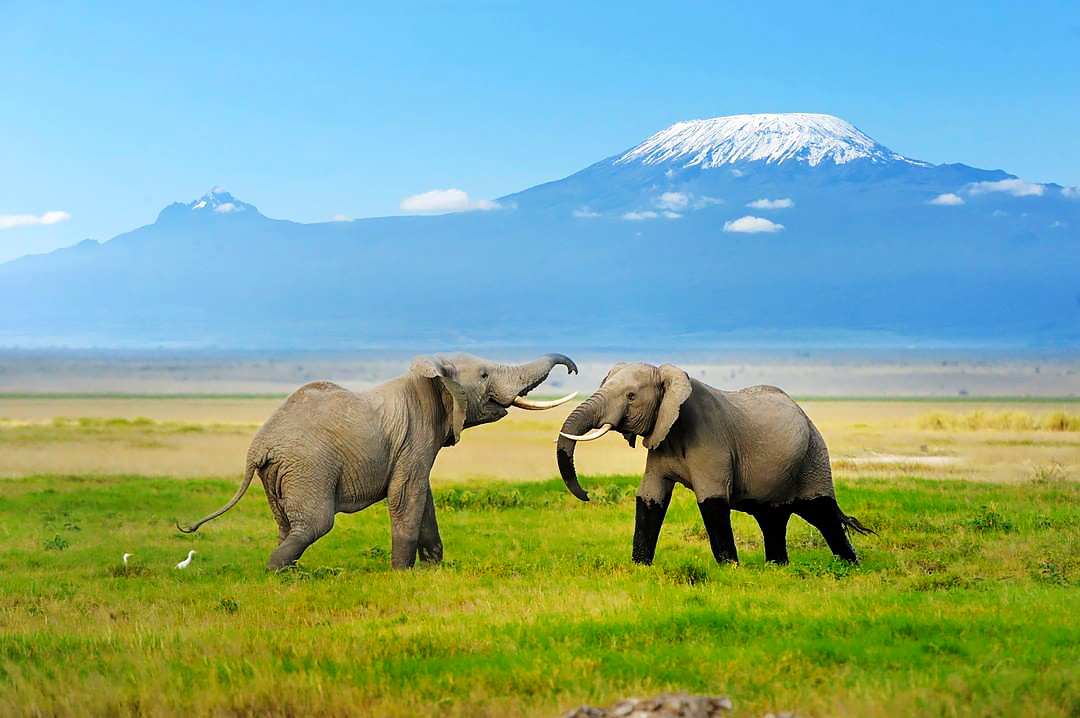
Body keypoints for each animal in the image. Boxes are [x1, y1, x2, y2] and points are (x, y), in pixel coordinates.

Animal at [177, 351, 578, 565]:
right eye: (483, 375)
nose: (572, 368)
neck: (430, 375)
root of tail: (258, 448)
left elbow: (423, 498)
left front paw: (433, 569)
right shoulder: (414, 438)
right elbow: (407, 496)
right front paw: (403, 573)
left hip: (278, 474)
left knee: (286, 526)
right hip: (307, 467)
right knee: (315, 524)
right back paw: (277, 573)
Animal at [552, 364, 872, 565]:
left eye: (631, 396)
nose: (587, 495)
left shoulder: (711, 441)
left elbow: (712, 501)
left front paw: (730, 569)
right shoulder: (661, 438)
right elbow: (651, 497)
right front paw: (640, 567)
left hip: (814, 456)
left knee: (822, 513)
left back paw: (850, 566)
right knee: (773, 519)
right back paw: (777, 567)